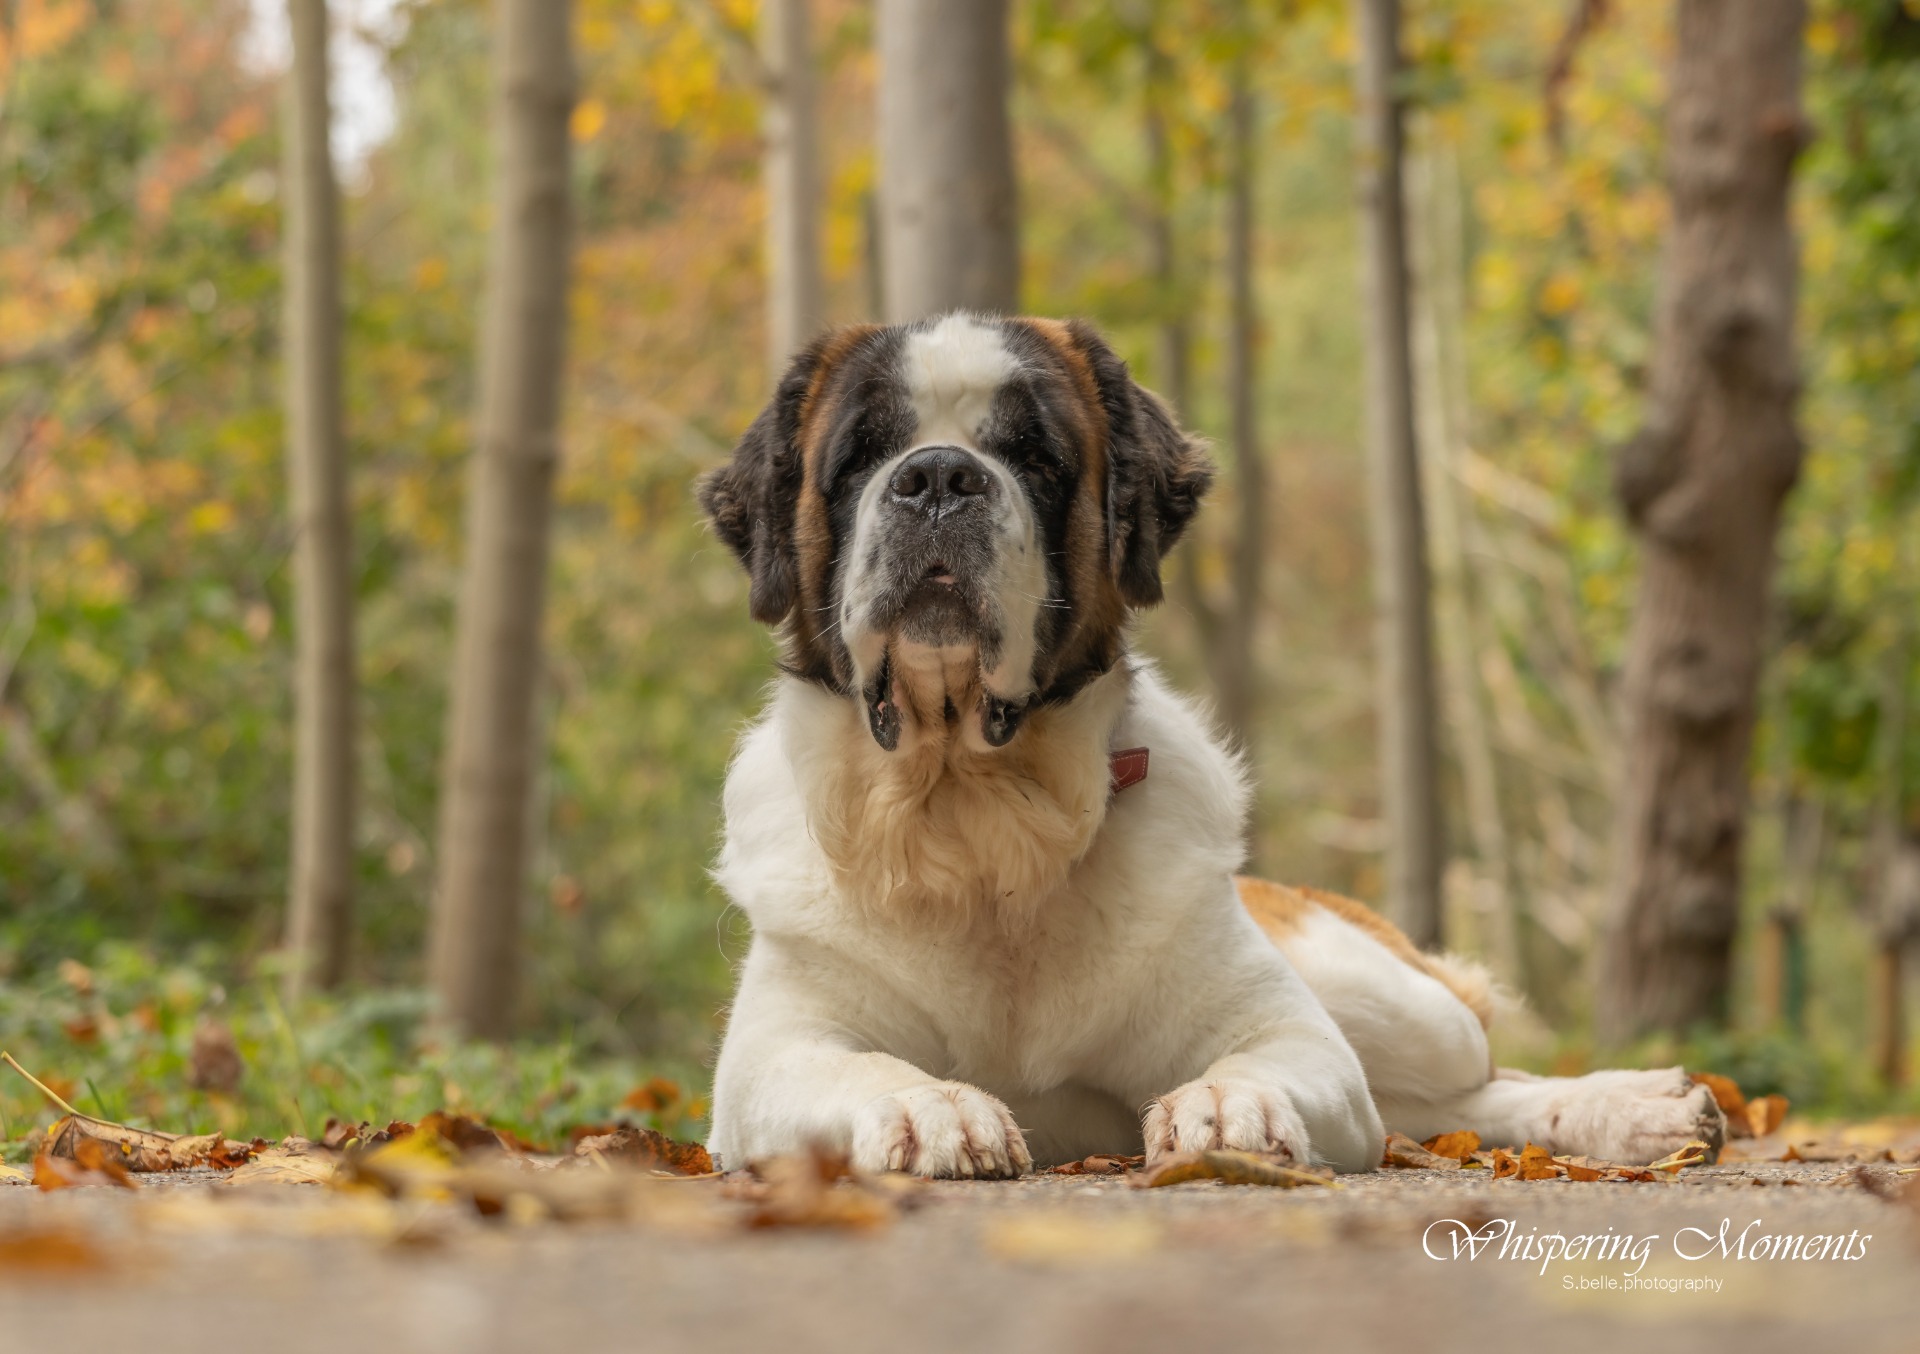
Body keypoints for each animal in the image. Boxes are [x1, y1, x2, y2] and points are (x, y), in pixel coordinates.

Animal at [698, 312, 1727, 1176]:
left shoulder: (1293, 1034)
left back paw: (1645, 1108)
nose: (940, 476)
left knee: (1473, 1082)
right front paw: (932, 1107)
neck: (972, 812)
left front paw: (1229, 1106)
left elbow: (1271, 1057)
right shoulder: (767, 1062)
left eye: (1033, 455)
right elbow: (853, 1065)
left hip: (1400, 1005)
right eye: (862, 458)